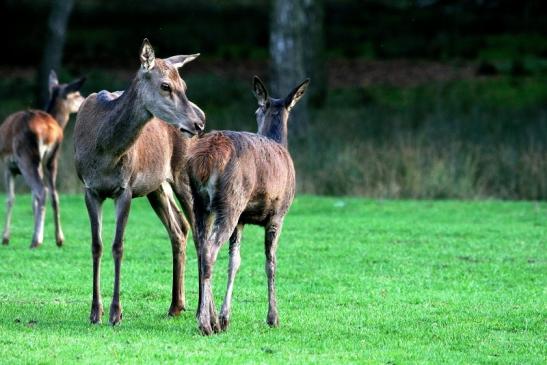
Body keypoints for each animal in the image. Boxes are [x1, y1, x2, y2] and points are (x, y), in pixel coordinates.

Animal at [0, 70, 85, 247]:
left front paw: (5, 238)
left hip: (26, 157)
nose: (85, 99)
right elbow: (31, 199)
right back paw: (59, 239)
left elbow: (10, 199)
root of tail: (49, 132)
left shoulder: (7, 166)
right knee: (53, 193)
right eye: (77, 94)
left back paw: (36, 240)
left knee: (41, 190)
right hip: (52, 159)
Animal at [75, 39, 206, 324]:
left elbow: (118, 246)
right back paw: (176, 305)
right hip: (156, 185)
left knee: (200, 233)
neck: (104, 152)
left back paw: (201, 309)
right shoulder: (90, 189)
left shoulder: (124, 189)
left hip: (183, 175)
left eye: (184, 85)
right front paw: (95, 312)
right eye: (165, 85)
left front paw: (116, 313)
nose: (199, 122)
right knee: (179, 228)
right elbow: (96, 245)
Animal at [187, 77, 308, 336]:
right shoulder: (278, 215)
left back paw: (208, 317)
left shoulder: (242, 220)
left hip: (200, 203)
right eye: (257, 110)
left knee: (201, 249)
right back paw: (206, 323)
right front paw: (273, 317)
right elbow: (271, 263)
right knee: (210, 251)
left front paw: (225, 317)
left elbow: (235, 262)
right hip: (231, 200)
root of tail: (206, 159)